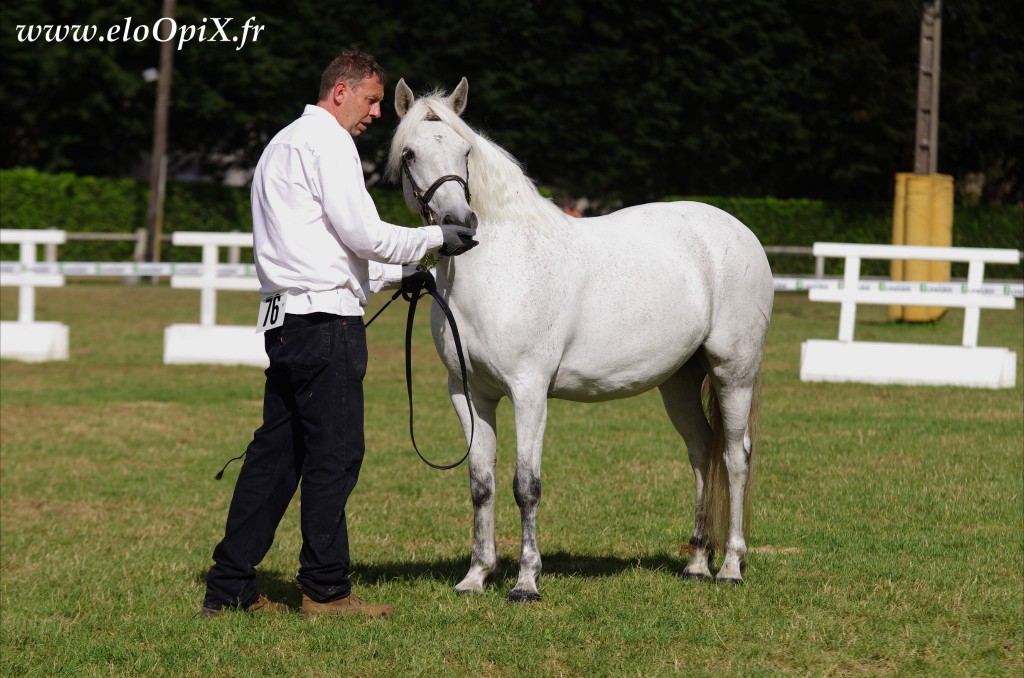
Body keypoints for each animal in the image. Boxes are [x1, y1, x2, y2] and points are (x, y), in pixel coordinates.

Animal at [387, 76, 770, 602]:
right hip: (678, 380)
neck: (499, 269)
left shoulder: (529, 391)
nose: (461, 226)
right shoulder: (469, 394)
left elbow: (525, 485)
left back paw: (731, 565)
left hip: (734, 371)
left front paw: (526, 582)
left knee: (734, 455)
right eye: (409, 154)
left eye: (465, 150)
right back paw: (696, 562)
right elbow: (481, 483)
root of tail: (739, 231)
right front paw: (476, 576)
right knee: (701, 451)